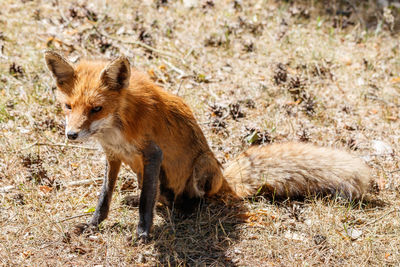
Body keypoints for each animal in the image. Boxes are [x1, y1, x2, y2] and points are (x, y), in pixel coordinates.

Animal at [45, 51, 374, 242]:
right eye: (68, 106)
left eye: (96, 109)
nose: (71, 134)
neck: (116, 130)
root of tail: (226, 180)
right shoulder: (113, 157)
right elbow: (105, 197)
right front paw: (93, 225)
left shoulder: (152, 154)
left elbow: (145, 204)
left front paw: (143, 233)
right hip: (141, 171)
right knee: (159, 197)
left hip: (201, 166)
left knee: (191, 199)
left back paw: (185, 209)